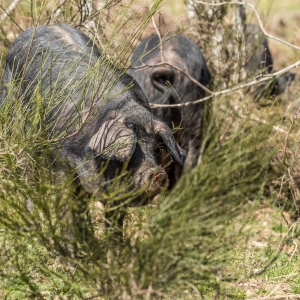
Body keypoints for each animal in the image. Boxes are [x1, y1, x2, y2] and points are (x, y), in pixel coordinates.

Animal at [1, 24, 186, 243]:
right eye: (130, 153)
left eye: (157, 149)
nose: (157, 173)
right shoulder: (61, 163)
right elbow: (66, 205)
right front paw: (73, 248)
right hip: (15, 126)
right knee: (27, 177)